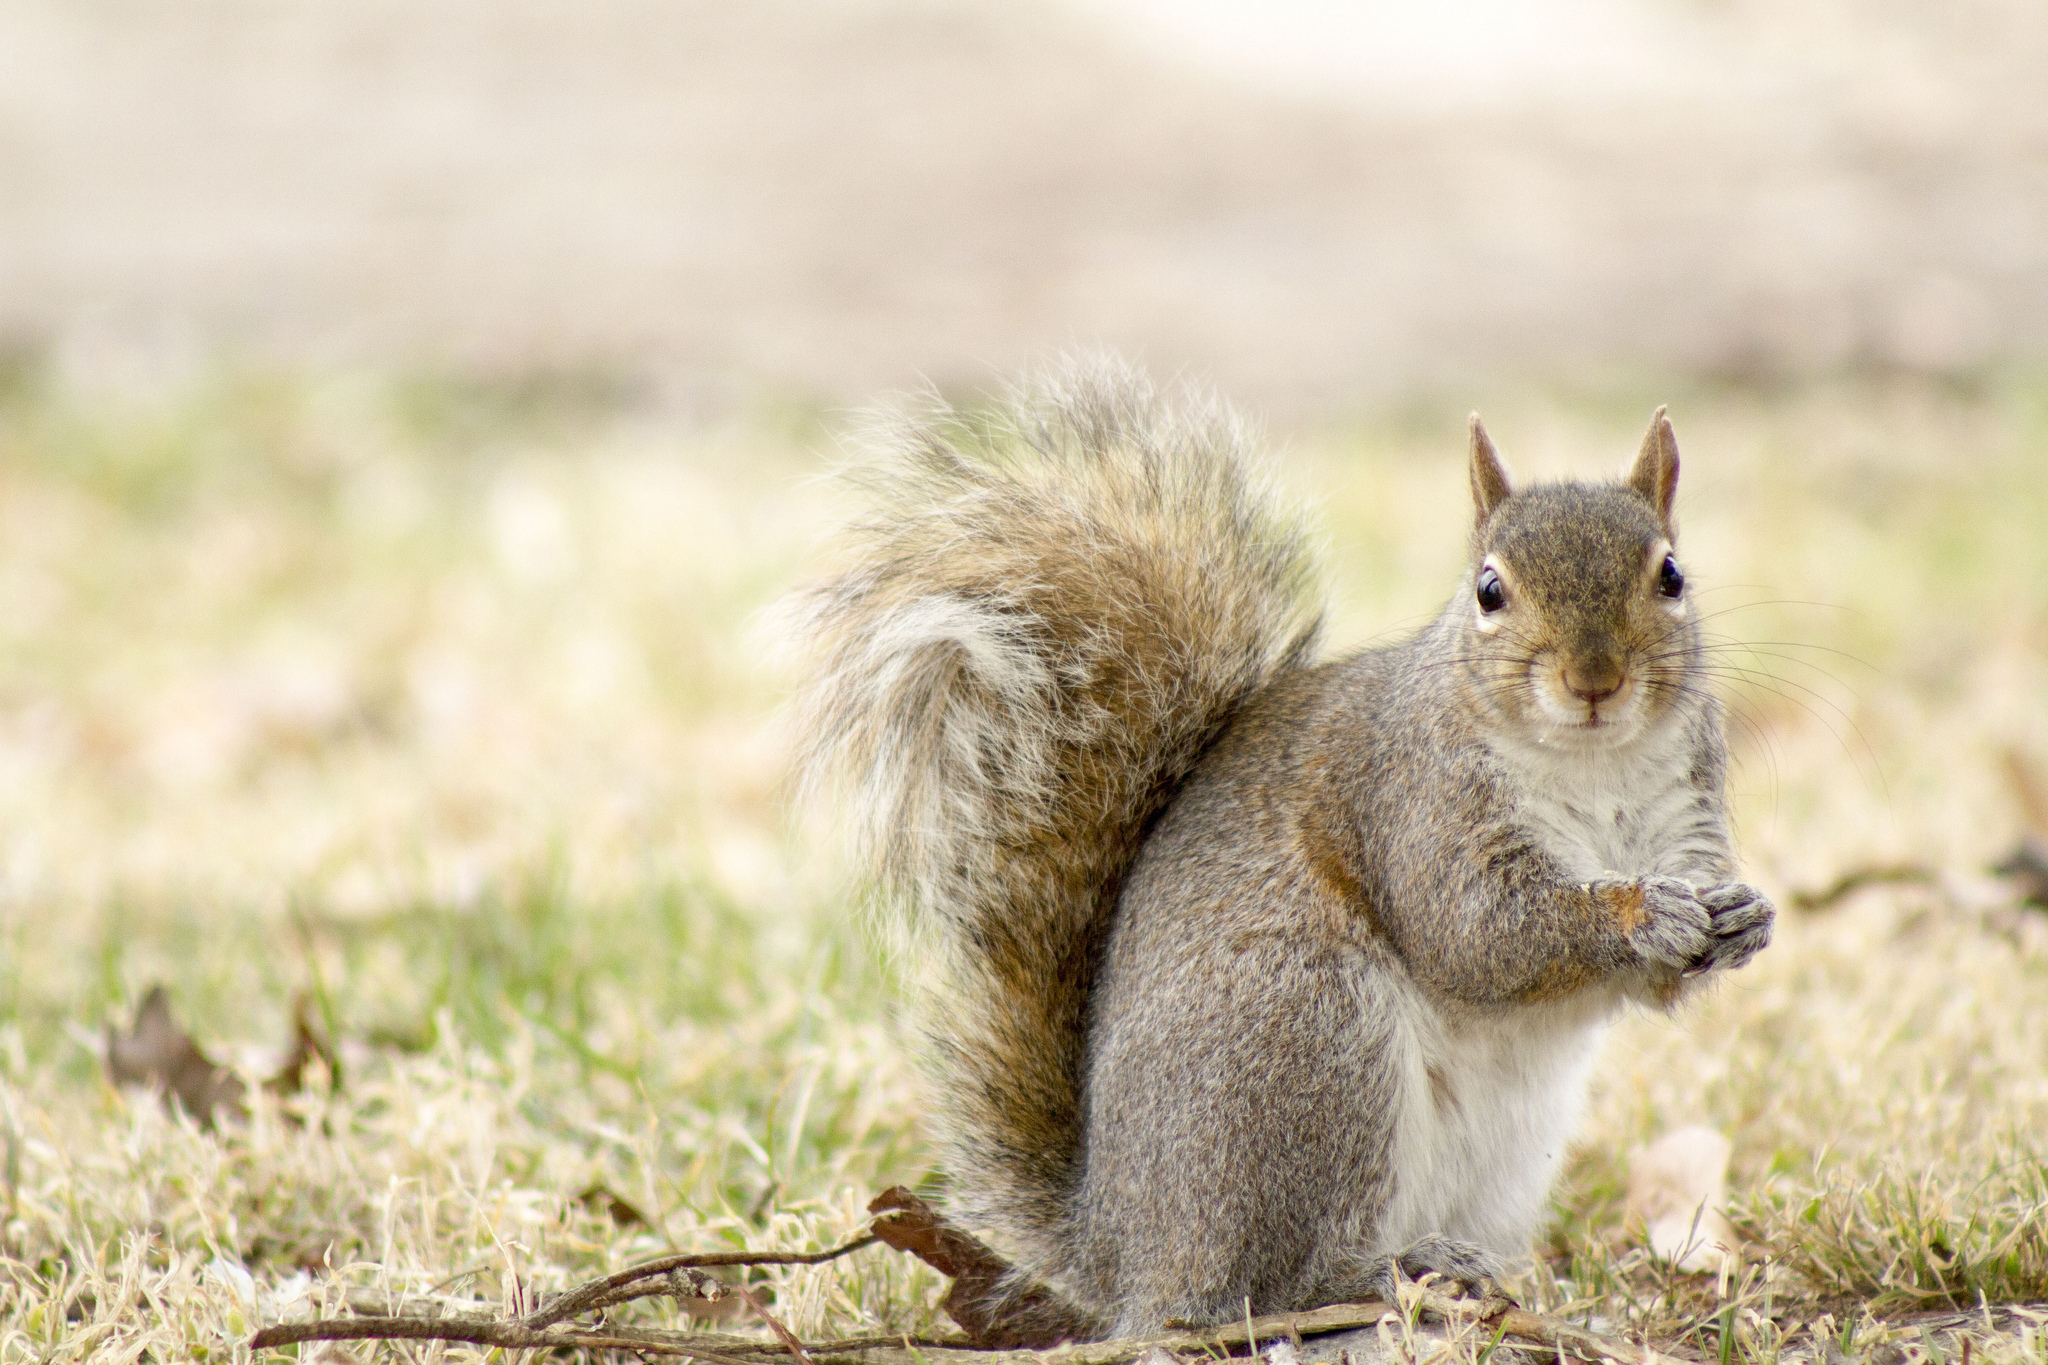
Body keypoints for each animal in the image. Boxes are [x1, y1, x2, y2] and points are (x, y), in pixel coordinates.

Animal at [774, 358, 1769, 1342]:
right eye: (1489, 590)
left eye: (1671, 574)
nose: (1595, 679)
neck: (1594, 765)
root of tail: (1121, 1250)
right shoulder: (1413, 802)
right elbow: (1480, 933)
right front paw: (1638, 912)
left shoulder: (1684, 813)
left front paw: (1742, 916)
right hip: (1307, 1037)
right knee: (1273, 1283)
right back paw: (1393, 1270)